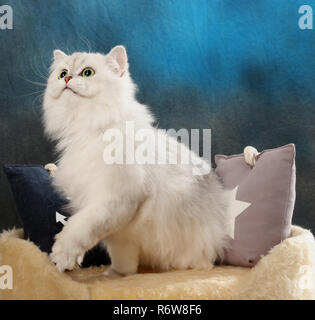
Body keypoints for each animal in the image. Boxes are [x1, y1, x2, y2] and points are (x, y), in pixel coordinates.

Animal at [43, 45, 233, 276]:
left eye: (87, 72)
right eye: (62, 73)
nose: (68, 78)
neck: (89, 129)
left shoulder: (117, 199)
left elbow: (79, 229)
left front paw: (63, 257)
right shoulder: (120, 231)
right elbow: (122, 260)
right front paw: (115, 276)